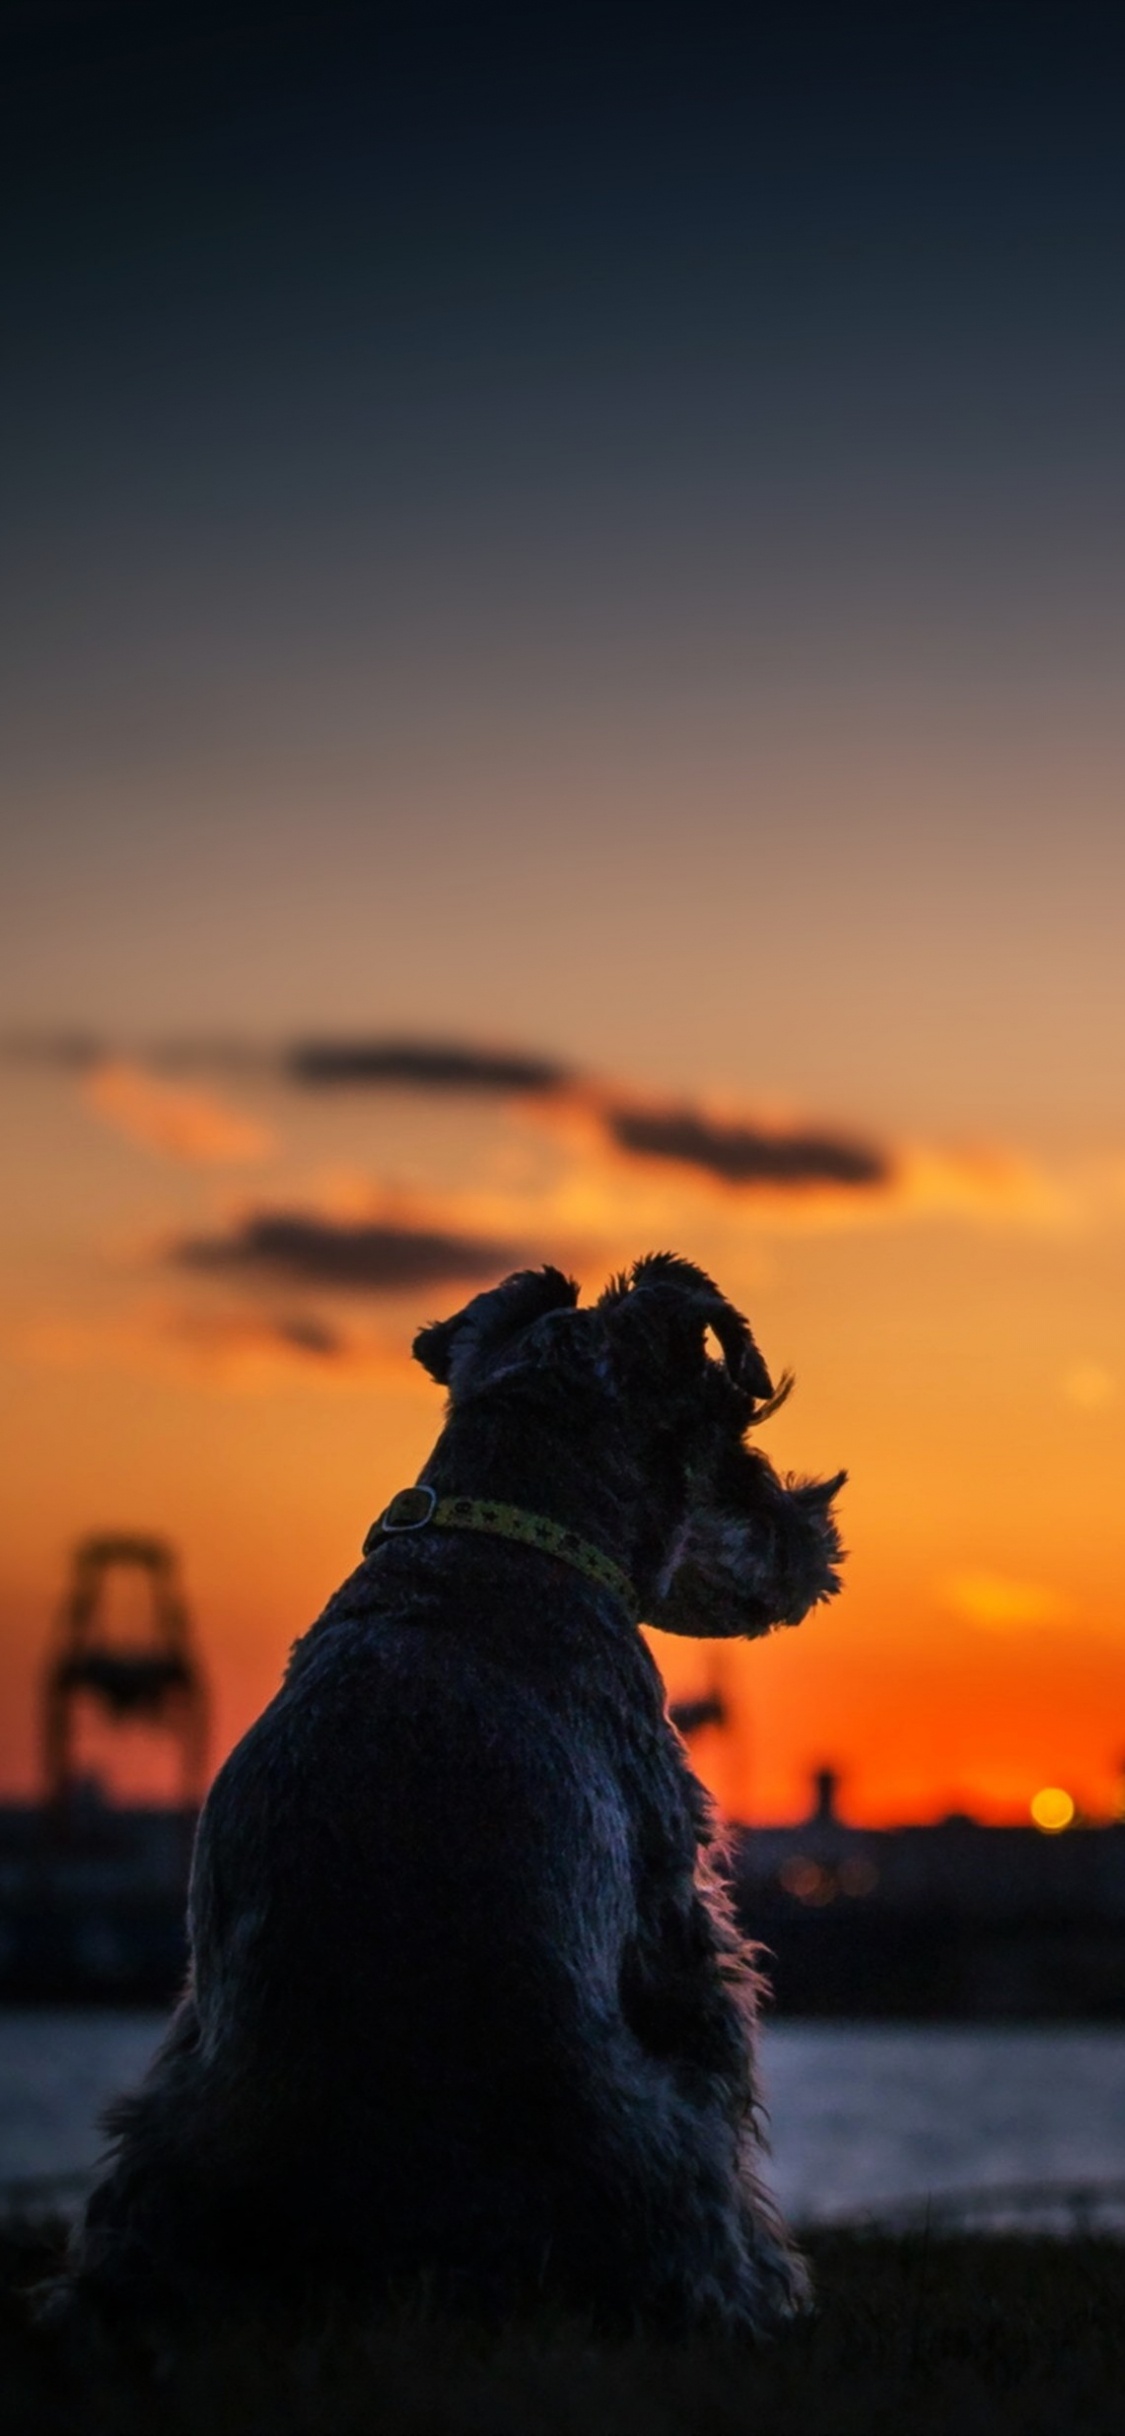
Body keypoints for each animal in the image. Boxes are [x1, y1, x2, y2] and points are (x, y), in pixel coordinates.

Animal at [54, 1256, 842, 2338]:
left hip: (155, 2136)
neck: (503, 1533)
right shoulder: (674, 1922)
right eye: (732, 1427)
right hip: (649, 2132)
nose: (812, 1537)